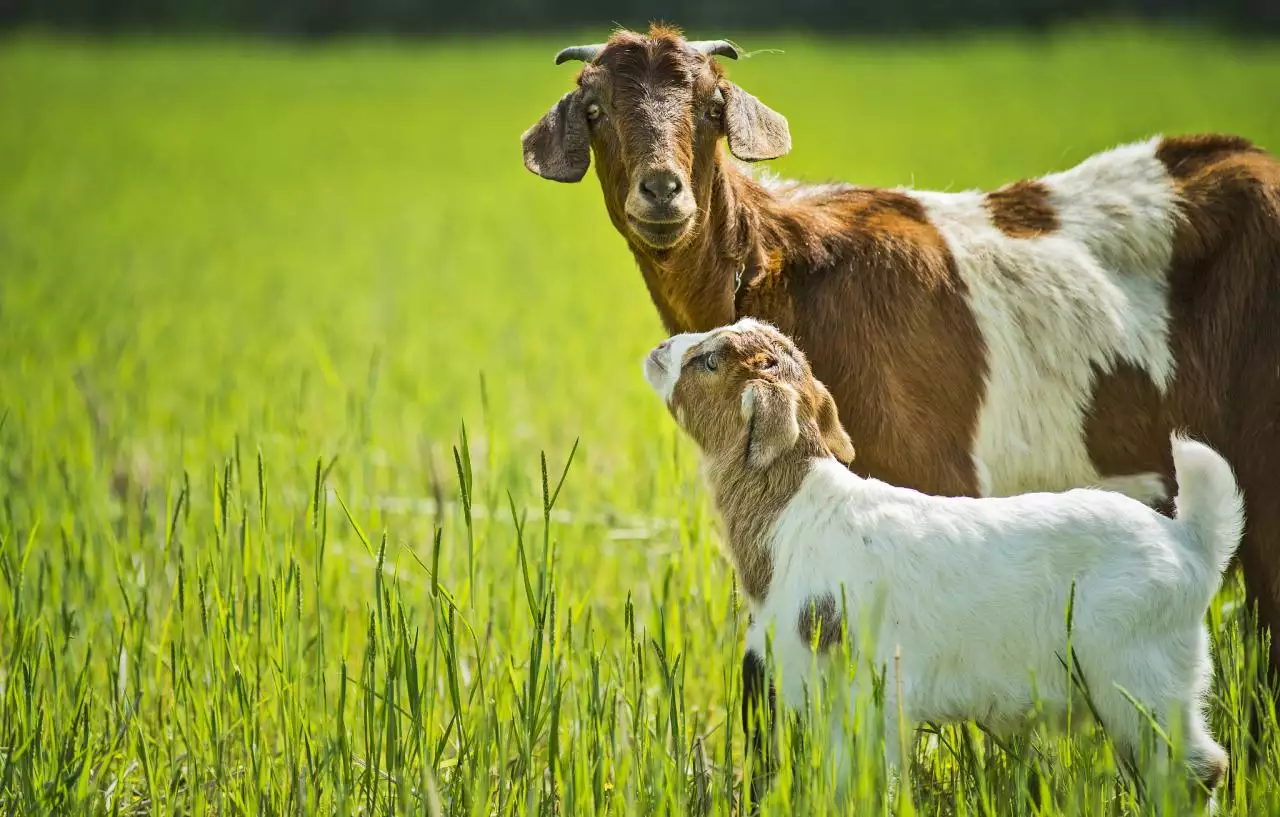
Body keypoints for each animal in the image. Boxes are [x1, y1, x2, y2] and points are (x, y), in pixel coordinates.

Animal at [645, 318, 1244, 799]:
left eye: (710, 361)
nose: (658, 350)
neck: (796, 511)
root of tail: (1190, 541)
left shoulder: (858, 692)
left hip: (1142, 675)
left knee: (1199, 769)